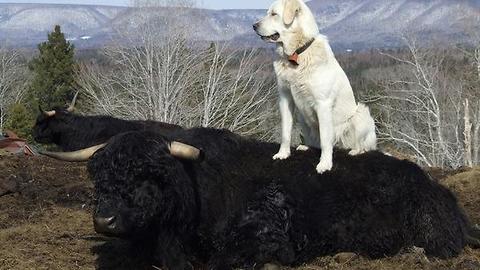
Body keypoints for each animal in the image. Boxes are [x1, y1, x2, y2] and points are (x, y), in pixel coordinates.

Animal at [253, 0, 376, 173]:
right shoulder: (285, 99)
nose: (254, 26)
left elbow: (325, 140)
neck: (297, 53)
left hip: (360, 114)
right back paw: (305, 146)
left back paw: (355, 151)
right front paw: (283, 154)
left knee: (362, 146)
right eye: (267, 13)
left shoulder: (323, 104)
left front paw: (325, 164)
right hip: (303, 117)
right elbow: (285, 132)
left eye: (274, 14)